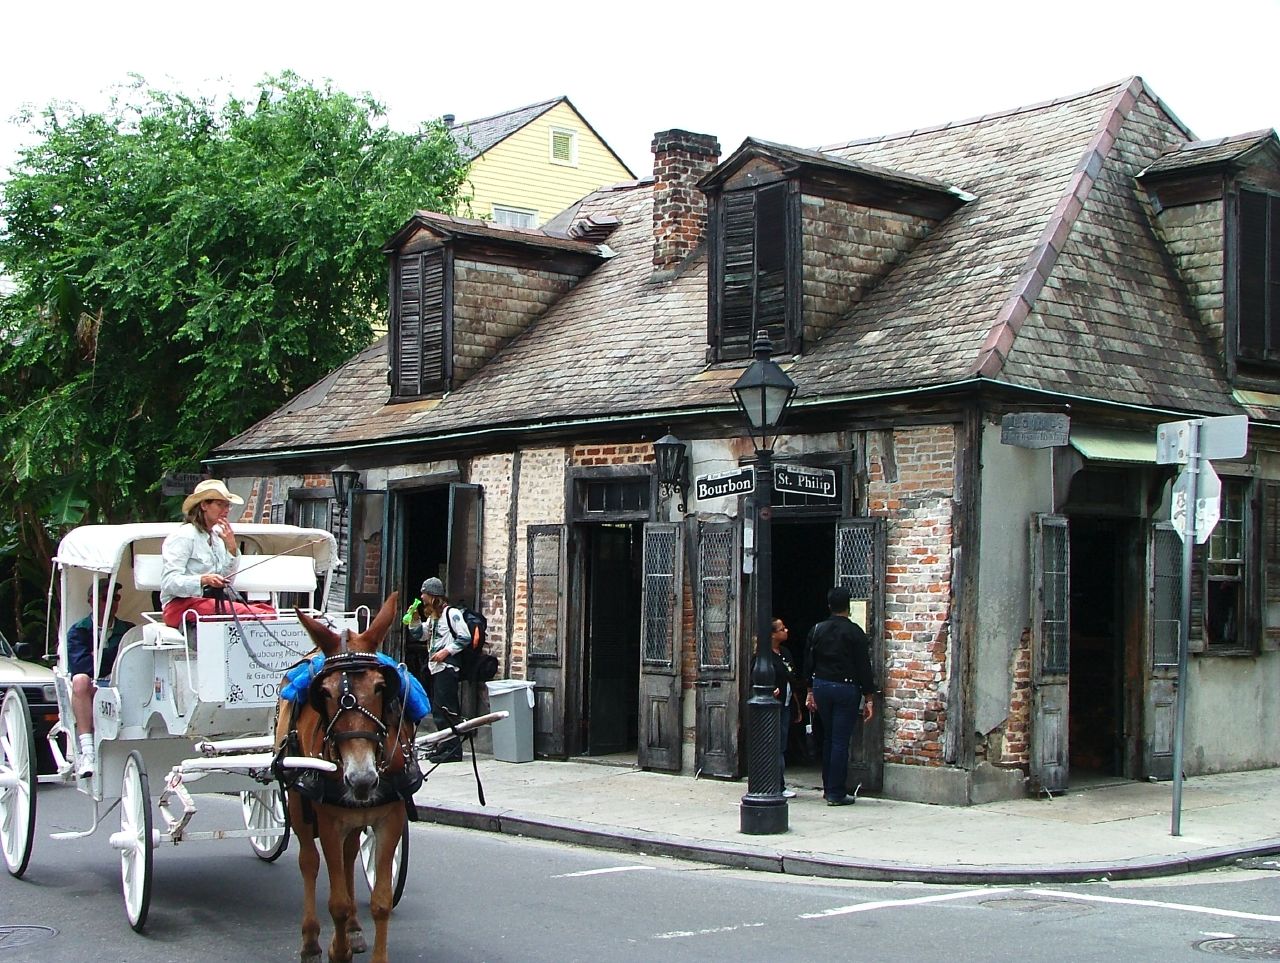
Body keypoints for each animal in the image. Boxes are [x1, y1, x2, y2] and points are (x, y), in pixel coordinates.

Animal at [276, 594, 419, 962]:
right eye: (323, 693)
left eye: (382, 687)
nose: (361, 778)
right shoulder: (328, 820)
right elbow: (336, 901)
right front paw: (336, 950)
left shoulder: (390, 817)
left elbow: (381, 902)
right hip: (298, 802)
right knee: (309, 862)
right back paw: (311, 941)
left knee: (350, 854)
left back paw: (354, 930)